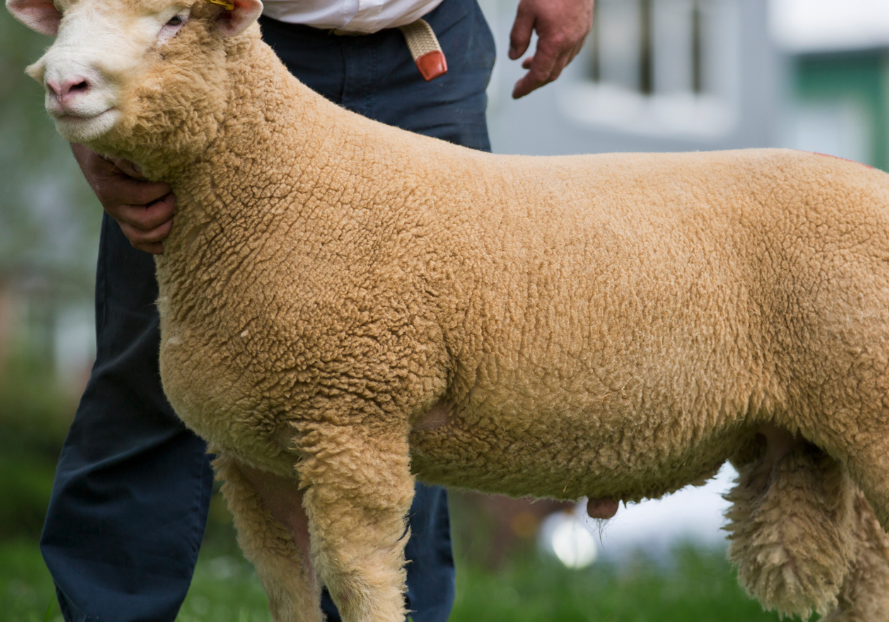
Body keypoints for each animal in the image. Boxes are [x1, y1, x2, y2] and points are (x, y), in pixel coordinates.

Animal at [10, 0, 888, 620]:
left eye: (174, 20)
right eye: (70, 13)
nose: (62, 84)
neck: (282, 178)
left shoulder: (349, 415)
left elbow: (360, 582)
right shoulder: (251, 453)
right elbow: (288, 587)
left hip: (866, 401)